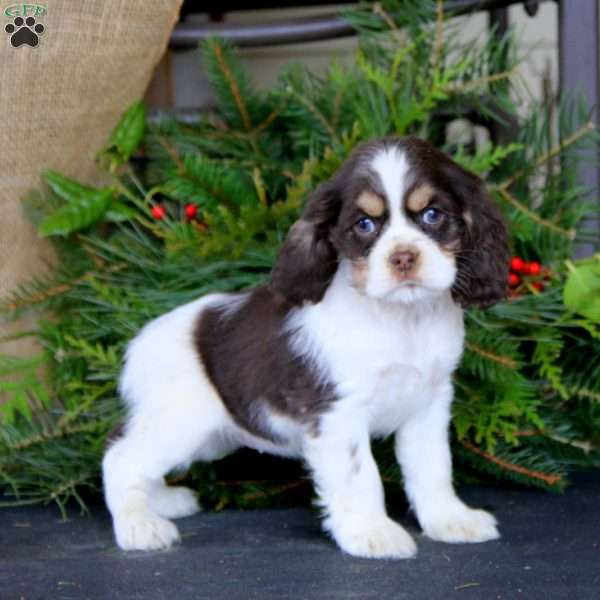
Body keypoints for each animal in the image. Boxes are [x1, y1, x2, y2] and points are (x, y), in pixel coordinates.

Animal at [105, 135, 508, 556]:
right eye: (364, 224)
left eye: (432, 215)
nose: (403, 257)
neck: (401, 319)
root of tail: (139, 343)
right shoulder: (336, 412)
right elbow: (362, 476)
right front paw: (372, 532)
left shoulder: (429, 404)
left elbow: (432, 468)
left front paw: (450, 520)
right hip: (181, 422)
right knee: (119, 456)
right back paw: (139, 525)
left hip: (212, 436)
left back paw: (162, 503)